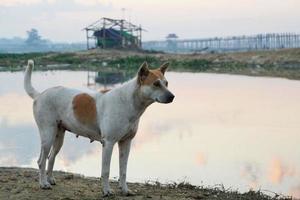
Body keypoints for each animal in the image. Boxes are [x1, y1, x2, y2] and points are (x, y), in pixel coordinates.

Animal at [24, 59, 175, 197]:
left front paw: (125, 190)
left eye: (166, 83)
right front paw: (106, 191)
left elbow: (123, 170)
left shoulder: (126, 143)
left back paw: (50, 179)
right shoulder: (108, 143)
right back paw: (43, 183)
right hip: (47, 135)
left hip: (58, 137)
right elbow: (106, 170)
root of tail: (39, 94)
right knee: (41, 160)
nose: (172, 96)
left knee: (51, 158)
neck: (128, 101)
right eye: (156, 84)